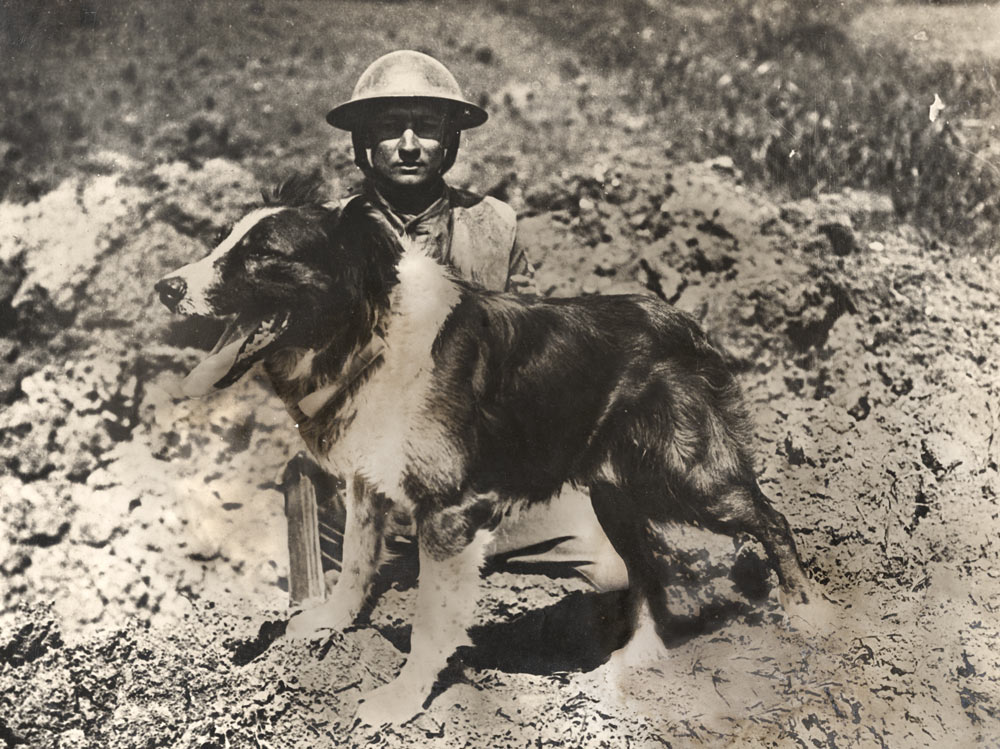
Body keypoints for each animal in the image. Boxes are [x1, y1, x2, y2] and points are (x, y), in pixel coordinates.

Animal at [154, 174, 828, 724]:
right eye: (221, 241)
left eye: (262, 255)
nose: (165, 288)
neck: (370, 331)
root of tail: (679, 319)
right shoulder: (369, 481)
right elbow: (354, 562)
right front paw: (332, 622)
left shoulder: (449, 512)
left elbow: (429, 620)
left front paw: (401, 700)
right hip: (615, 492)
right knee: (647, 568)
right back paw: (631, 663)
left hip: (687, 475)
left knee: (771, 518)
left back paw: (808, 615)